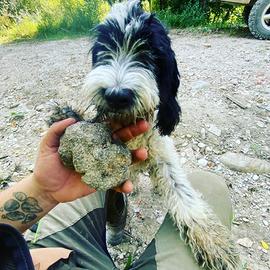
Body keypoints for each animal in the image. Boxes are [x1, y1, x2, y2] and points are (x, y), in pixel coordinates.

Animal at [51, 1, 239, 268]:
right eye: (105, 48)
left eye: (149, 52)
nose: (116, 95)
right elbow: (114, 207)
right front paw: (65, 115)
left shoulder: (163, 155)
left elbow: (184, 194)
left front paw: (215, 242)